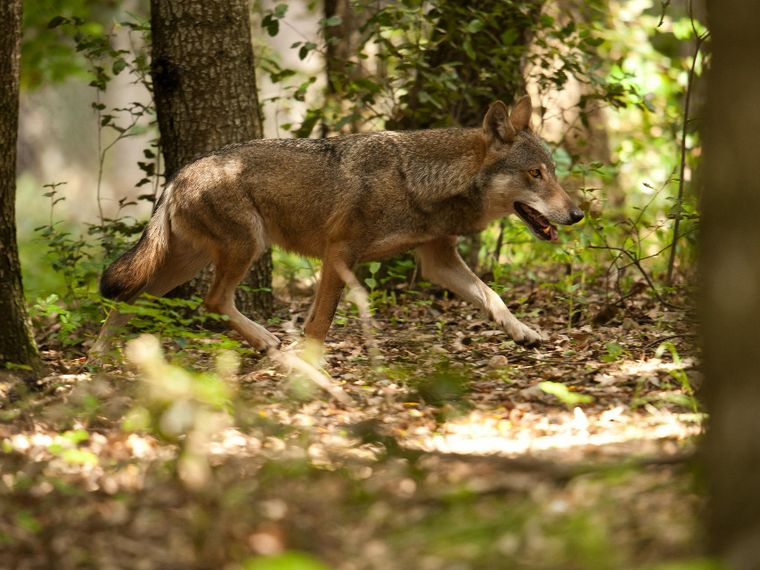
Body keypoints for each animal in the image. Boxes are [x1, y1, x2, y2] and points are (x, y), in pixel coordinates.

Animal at [92, 96, 584, 355]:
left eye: (553, 172)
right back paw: (266, 340)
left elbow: (492, 296)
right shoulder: (340, 254)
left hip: (186, 263)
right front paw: (312, 366)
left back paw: (97, 358)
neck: (421, 180)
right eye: (535, 174)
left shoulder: (437, 261)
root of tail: (179, 173)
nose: (578, 214)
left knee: (132, 298)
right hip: (245, 248)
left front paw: (523, 332)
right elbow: (321, 322)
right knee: (211, 302)